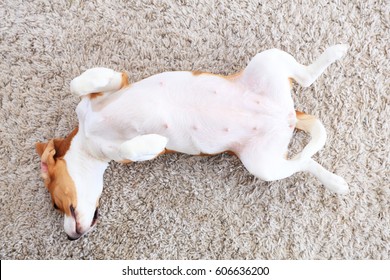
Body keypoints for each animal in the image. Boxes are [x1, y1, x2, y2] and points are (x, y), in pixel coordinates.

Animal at [35, 44, 348, 241]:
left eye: (55, 204)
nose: (69, 237)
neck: (89, 135)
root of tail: (287, 115)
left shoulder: (116, 84)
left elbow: (79, 83)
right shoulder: (115, 152)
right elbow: (128, 147)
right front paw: (148, 142)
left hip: (267, 61)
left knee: (306, 79)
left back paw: (334, 51)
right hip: (263, 164)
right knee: (304, 160)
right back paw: (334, 180)